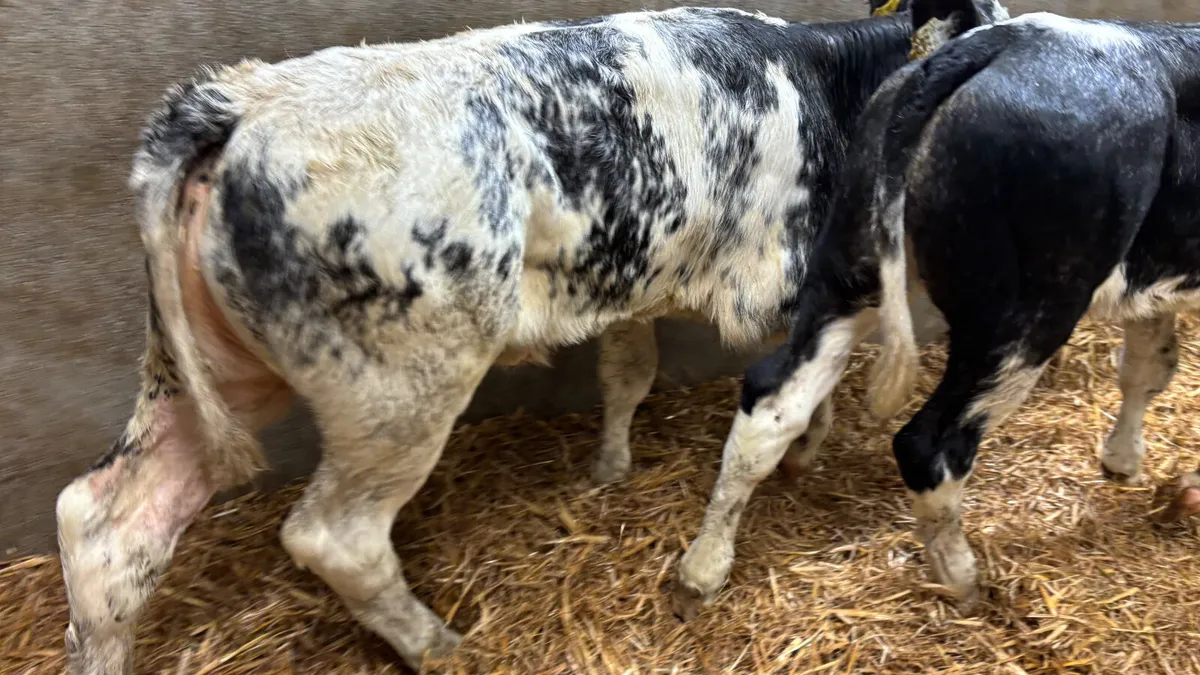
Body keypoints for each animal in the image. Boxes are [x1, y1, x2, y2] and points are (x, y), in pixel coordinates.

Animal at [675, 5, 1200, 621]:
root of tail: (1001, 40)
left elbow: (1148, 366)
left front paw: (1123, 461)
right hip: (1026, 311)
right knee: (932, 443)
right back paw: (964, 579)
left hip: (847, 266)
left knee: (773, 400)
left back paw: (702, 568)